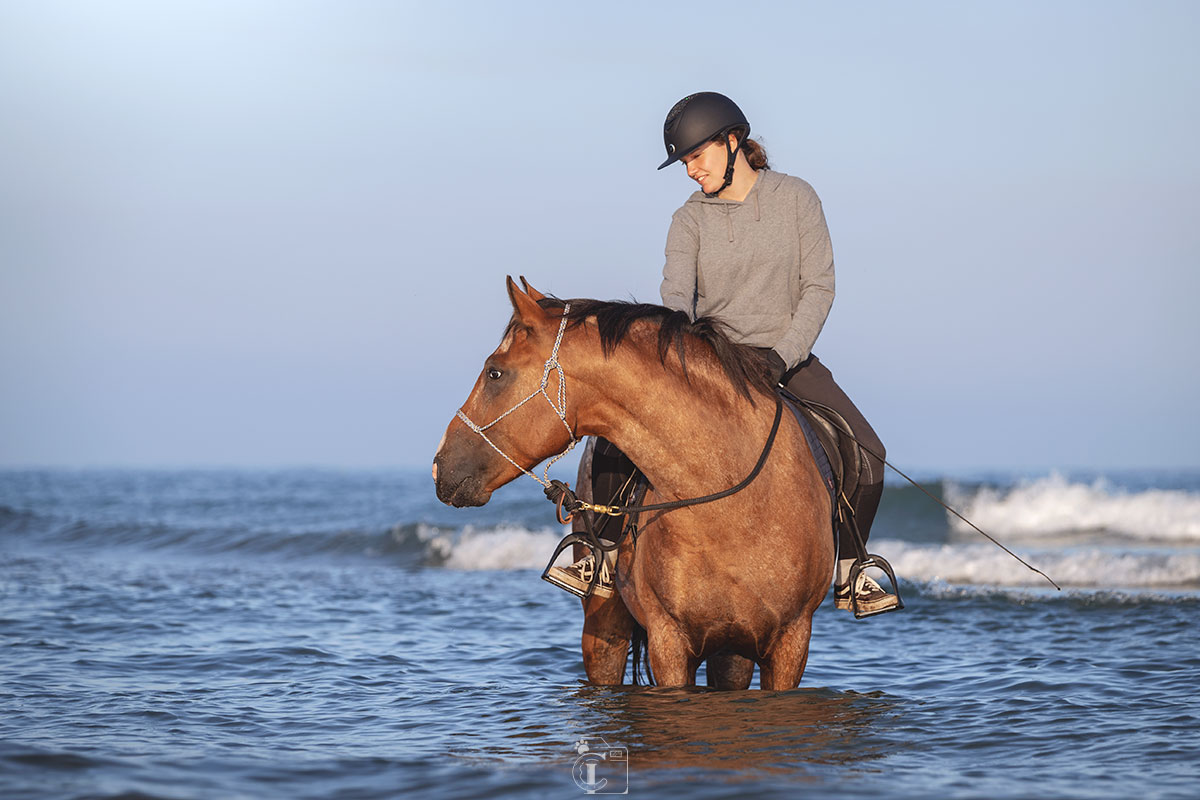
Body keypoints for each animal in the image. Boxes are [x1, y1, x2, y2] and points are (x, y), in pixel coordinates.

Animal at [432, 278, 835, 690]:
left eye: (494, 373)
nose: (438, 465)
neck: (734, 509)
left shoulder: (790, 643)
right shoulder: (669, 642)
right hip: (604, 632)